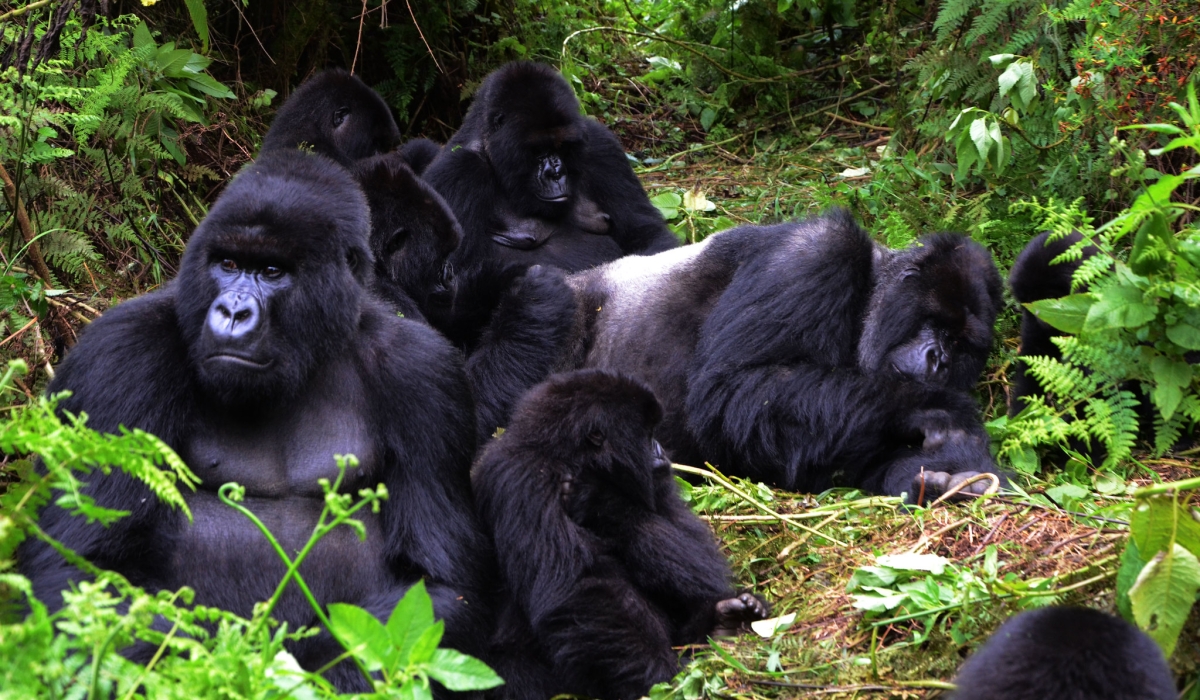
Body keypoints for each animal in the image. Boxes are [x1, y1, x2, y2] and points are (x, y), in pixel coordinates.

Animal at [15, 147, 492, 691]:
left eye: (271, 270)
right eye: (227, 264)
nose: (232, 312)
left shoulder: (427, 375)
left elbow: (442, 584)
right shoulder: (117, 355)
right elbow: (77, 566)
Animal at [424, 60, 681, 273]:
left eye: (563, 146)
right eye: (538, 151)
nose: (556, 173)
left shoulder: (602, 146)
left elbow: (646, 233)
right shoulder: (457, 172)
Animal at [470, 367, 768, 700]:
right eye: (647, 434)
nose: (661, 450)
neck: (566, 453)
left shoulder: (657, 484)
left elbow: (696, 549)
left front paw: (599, 500)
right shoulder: (525, 476)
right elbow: (581, 587)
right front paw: (659, 677)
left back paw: (723, 625)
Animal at [556, 210, 1008, 504]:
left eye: (960, 346)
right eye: (939, 326)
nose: (938, 360)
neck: (868, 287)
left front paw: (945, 476)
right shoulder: (814, 253)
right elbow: (736, 389)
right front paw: (940, 408)